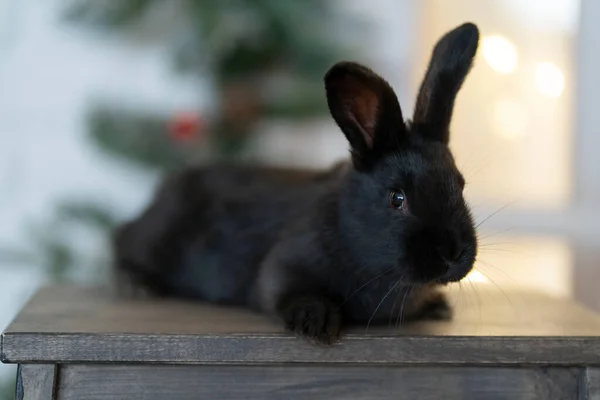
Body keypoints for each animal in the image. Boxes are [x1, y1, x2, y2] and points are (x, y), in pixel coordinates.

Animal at [112, 23, 478, 346]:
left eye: (460, 185)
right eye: (397, 198)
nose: (452, 253)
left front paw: (438, 307)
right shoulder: (283, 268)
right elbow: (289, 292)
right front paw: (316, 322)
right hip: (154, 239)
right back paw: (137, 285)